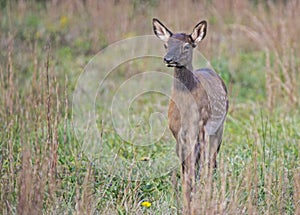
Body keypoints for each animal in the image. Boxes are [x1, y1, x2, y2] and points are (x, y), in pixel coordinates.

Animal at [154, 18, 229, 215]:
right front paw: (185, 203)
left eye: (186, 46)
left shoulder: (200, 128)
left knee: (211, 162)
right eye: (166, 44)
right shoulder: (177, 134)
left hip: (218, 127)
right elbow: (185, 171)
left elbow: (196, 168)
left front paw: (195, 202)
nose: (168, 59)